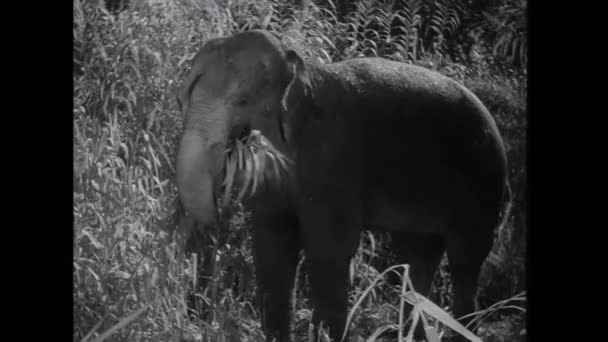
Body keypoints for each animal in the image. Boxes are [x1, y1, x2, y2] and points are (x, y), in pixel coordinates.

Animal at [175, 30, 508, 342]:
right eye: (184, 99)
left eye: (242, 102)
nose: (219, 207)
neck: (304, 70)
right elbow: (272, 244)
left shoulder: (334, 158)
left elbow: (328, 248)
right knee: (416, 257)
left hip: (483, 181)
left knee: (464, 261)